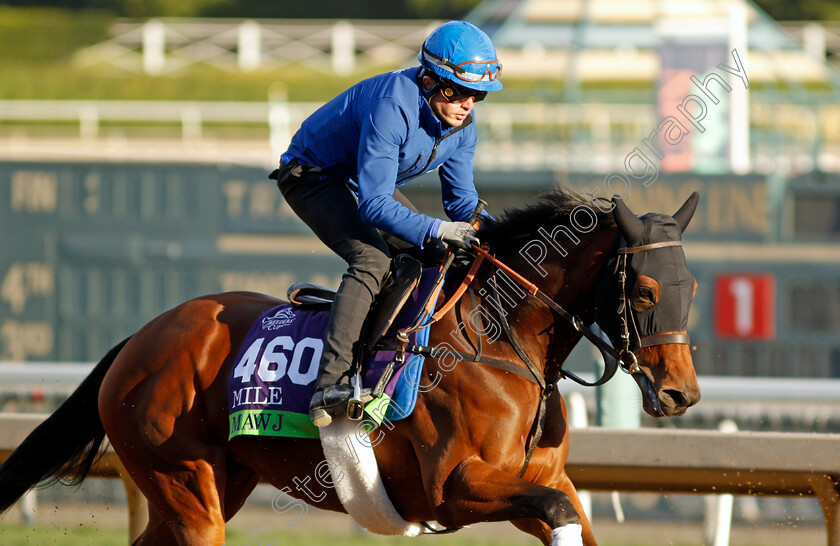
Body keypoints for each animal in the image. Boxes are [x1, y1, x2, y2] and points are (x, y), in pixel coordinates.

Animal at [0, 189, 700, 540]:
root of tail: (140, 339)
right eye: (644, 292)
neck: (500, 344)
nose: (681, 395)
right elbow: (554, 513)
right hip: (181, 480)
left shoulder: (543, 480)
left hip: (218, 484)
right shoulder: (455, 489)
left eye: (689, 285)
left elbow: (568, 513)